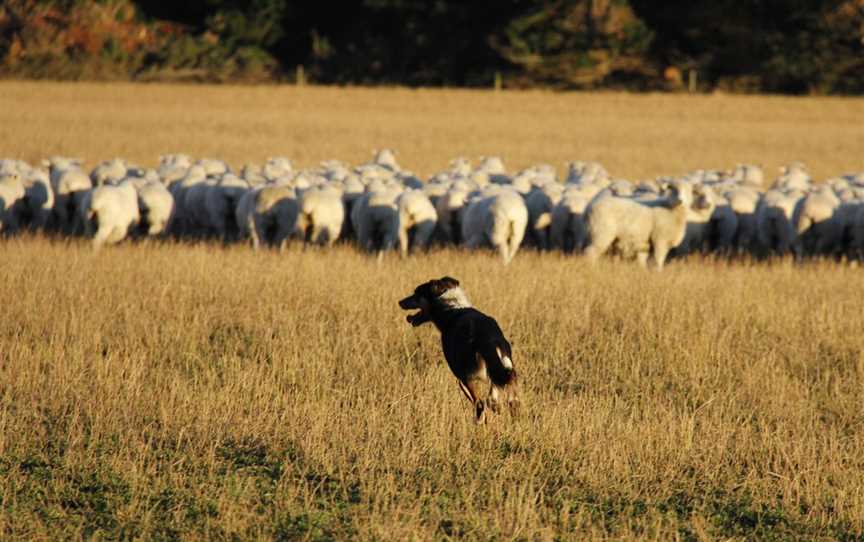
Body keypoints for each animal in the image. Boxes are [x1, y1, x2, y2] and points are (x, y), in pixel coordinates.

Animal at [400, 276, 520, 424]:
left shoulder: (460, 377)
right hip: (503, 365)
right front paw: (496, 406)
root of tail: (487, 340)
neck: (451, 307)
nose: (400, 302)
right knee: (509, 396)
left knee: (480, 402)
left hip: (467, 376)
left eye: (416, 292)